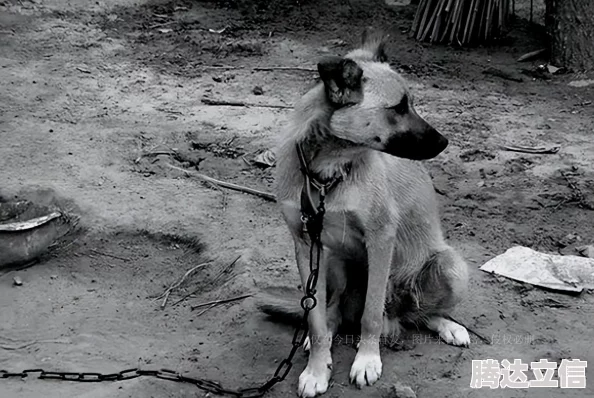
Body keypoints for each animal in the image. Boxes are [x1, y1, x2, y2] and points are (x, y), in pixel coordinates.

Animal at [256, 28, 470, 398]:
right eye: (399, 107)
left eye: (411, 103)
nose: (444, 142)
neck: (327, 174)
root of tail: (396, 316)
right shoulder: (307, 245)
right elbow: (315, 320)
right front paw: (317, 370)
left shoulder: (380, 239)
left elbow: (370, 315)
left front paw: (367, 360)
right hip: (333, 264)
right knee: (335, 310)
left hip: (451, 268)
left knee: (418, 312)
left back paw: (447, 326)